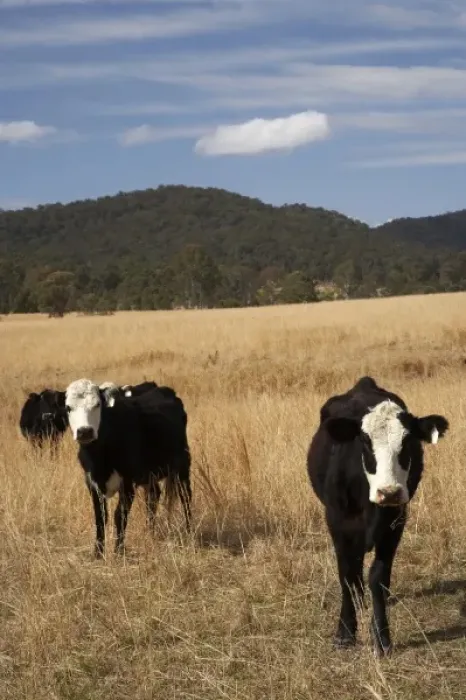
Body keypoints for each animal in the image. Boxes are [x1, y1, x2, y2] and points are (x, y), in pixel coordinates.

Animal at [65, 378, 192, 558]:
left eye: (97, 404)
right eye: (68, 407)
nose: (85, 431)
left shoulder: (127, 482)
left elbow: (120, 515)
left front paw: (118, 551)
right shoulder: (92, 483)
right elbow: (100, 517)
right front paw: (98, 553)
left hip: (182, 464)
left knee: (185, 496)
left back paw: (189, 531)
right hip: (150, 475)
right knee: (153, 496)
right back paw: (149, 531)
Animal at [306, 376, 449, 656]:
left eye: (408, 442)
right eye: (364, 441)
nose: (389, 492)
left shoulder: (395, 522)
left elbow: (378, 576)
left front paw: (382, 637)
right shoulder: (338, 522)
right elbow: (347, 574)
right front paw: (345, 632)